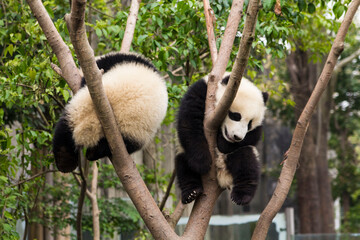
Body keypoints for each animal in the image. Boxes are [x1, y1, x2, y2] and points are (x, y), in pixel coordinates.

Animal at [174, 72, 268, 205]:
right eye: (236, 116)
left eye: (249, 123)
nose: (237, 137)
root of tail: (222, 177)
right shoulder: (201, 91)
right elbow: (189, 121)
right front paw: (202, 162)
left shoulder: (253, 131)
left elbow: (253, 136)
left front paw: (223, 143)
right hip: (183, 151)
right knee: (183, 165)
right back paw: (191, 192)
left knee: (247, 161)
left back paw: (241, 195)